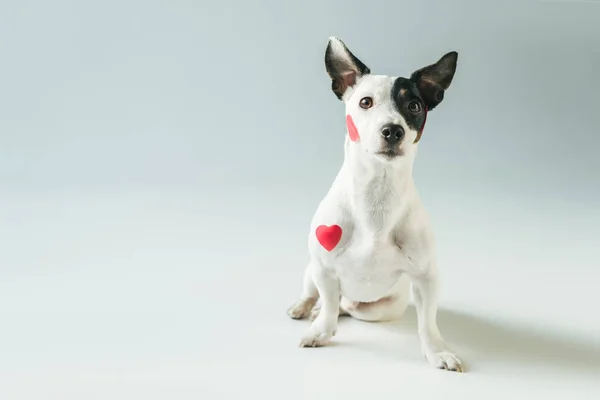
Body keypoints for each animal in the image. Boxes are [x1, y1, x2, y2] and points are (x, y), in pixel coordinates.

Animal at [286, 36, 464, 372]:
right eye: (365, 102)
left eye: (414, 106)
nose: (392, 129)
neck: (377, 194)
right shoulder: (324, 270)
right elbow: (327, 306)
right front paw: (320, 331)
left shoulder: (426, 279)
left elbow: (427, 323)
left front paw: (437, 351)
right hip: (311, 271)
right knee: (319, 297)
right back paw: (305, 307)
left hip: (380, 309)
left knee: (345, 306)